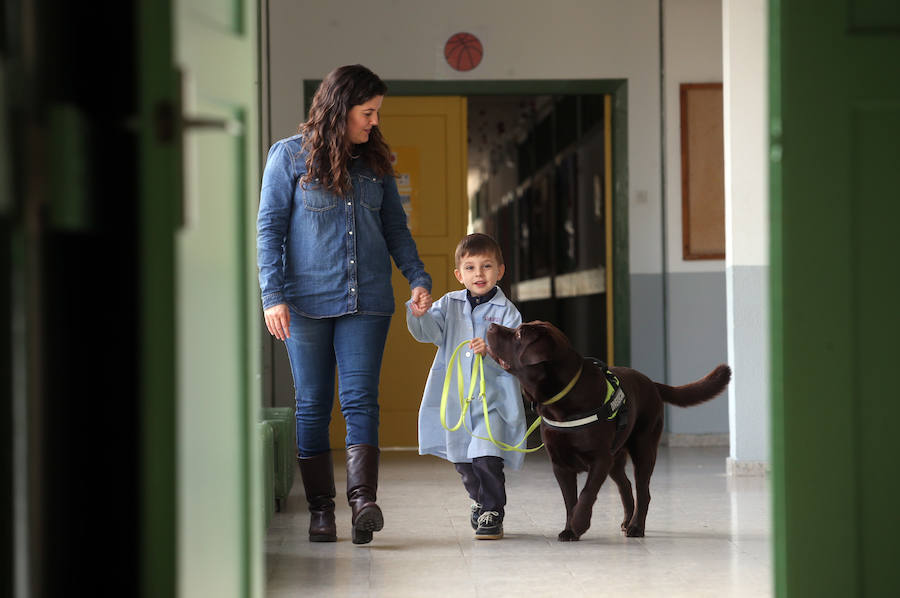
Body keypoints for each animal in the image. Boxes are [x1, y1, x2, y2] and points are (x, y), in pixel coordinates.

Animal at [486, 324, 732, 544]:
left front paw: (579, 524)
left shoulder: (600, 459)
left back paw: (636, 527)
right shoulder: (560, 464)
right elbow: (569, 500)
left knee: (643, 490)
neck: (562, 402)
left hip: (643, 448)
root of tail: (652, 383)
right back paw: (627, 521)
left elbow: (586, 493)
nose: (491, 326)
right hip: (616, 457)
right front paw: (569, 530)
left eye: (519, 334)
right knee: (625, 486)